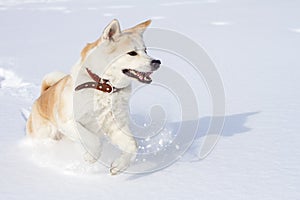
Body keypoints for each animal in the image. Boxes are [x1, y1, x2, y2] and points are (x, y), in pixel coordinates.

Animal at [26, 19, 162, 175]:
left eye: (145, 50)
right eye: (132, 53)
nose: (157, 62)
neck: (105, 88)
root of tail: (42, 94)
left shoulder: (115, 126)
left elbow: (132, 144)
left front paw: (119, 166)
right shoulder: (68, 122)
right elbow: (93, 140)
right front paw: (91, 156)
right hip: (45, 134)